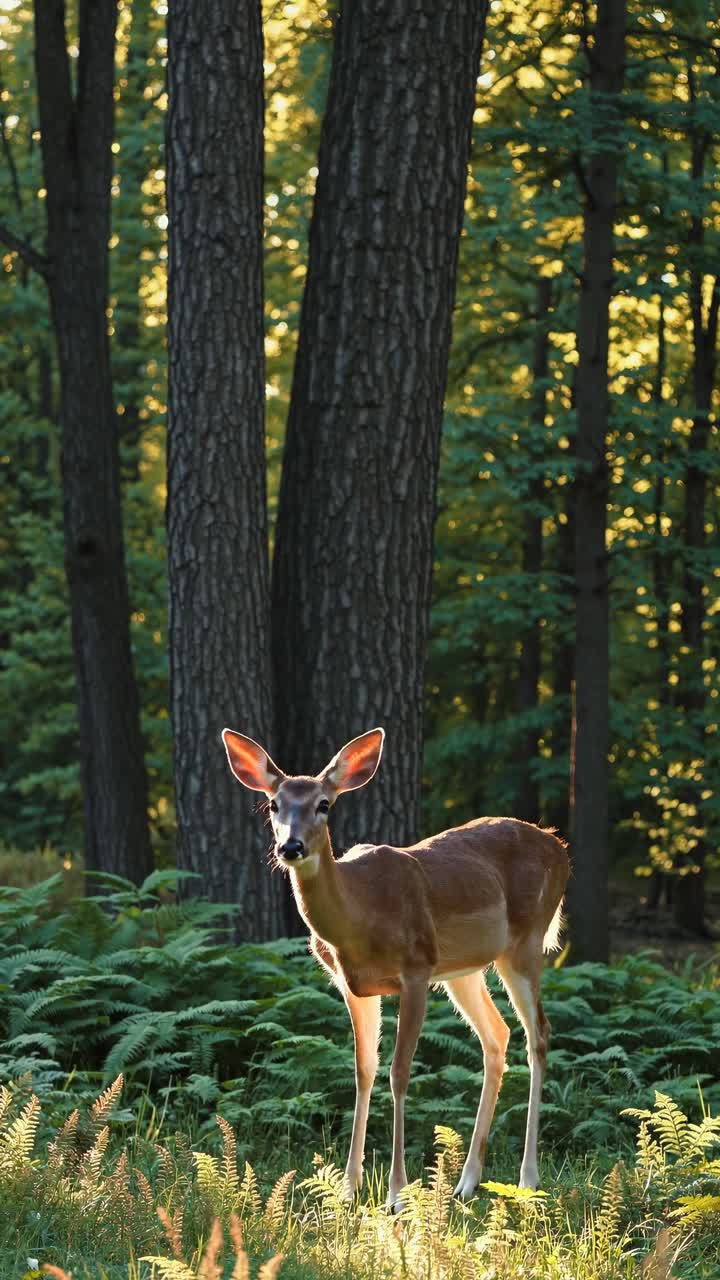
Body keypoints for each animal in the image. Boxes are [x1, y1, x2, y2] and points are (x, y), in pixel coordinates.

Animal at [222, 725, 569, 1210]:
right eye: (274, 804)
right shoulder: (350, 986)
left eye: (324, 804)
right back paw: (466, 1182)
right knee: (497, 1035)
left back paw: (527, 1179)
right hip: (464, 969)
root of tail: (560, 847)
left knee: (538, 1034)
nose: (290, 846)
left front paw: (398, 1194)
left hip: (525, 942)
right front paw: (347, 1189)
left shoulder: (416, 969)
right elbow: (362, 1070)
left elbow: (399, 1073)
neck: (359, 916)